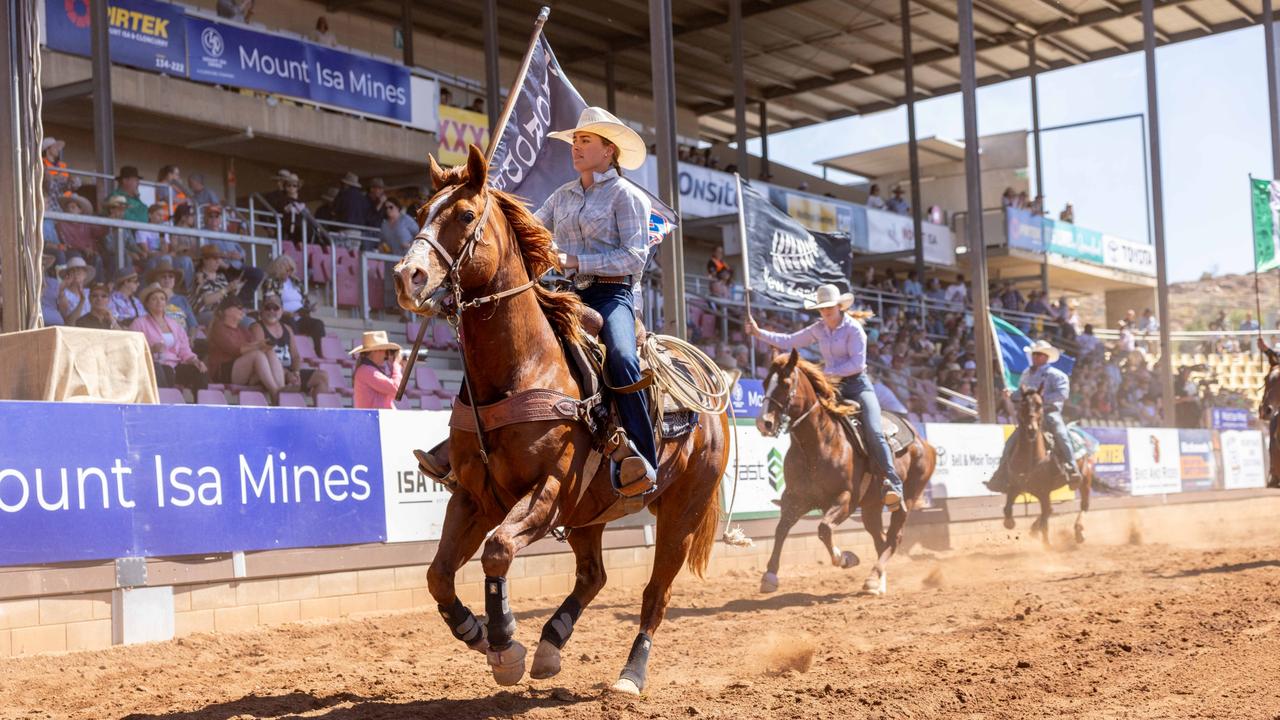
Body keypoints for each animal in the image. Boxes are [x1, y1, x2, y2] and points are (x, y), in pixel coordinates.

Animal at [389, 146, 732, 696]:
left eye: (465, 215)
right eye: (421, 213)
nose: (408, 277)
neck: (522, 367)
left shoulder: (550, 489)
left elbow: (498, 549)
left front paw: (504, 643)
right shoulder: (474, 496)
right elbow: (438, 573)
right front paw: (478, 633)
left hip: (682, 511)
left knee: (655, 594)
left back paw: (630, 675)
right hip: (590, 512)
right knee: (594, 576)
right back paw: (551, 644)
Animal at [752, 348, 936, 594]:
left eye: (785, 383)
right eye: (764, 383)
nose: (764, 423)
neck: (819, 444)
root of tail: (923, 444)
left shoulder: (846, 499)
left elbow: (824, 529)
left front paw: (846, 558)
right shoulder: (796, 499)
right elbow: (781, 529)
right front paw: (770, 576)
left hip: (905, 500)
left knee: (893, 538)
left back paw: (873, 578)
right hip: (871, 508)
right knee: (880, 539)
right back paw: (877, 582)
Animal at [998, 386, 1100, 543]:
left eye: (1040, 405)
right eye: (1022, 404)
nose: (1031, 429)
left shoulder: (1043, 491)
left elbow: (1046, 519)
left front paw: (1046, 543)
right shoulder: (1015, 486)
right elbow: (1008, 511)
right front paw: (1013, 523)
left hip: (1085, 479)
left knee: (1084, 504)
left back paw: (1078, 531)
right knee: (1049, 510)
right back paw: (1035, 528)